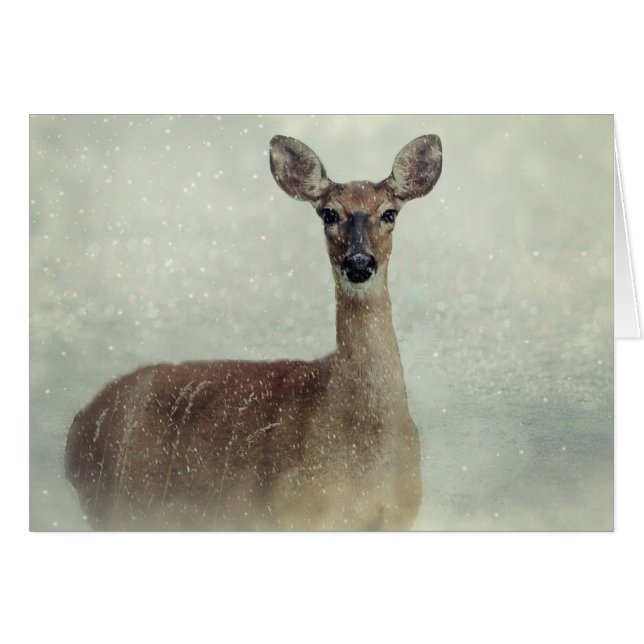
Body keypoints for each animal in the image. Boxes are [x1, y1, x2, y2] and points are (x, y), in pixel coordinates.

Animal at [65, 133, 443, 531]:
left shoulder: (397, 517)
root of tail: (76, 429)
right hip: (117, 505)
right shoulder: (292, 512)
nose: (358, 263)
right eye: (328, 214)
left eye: (389, 213)